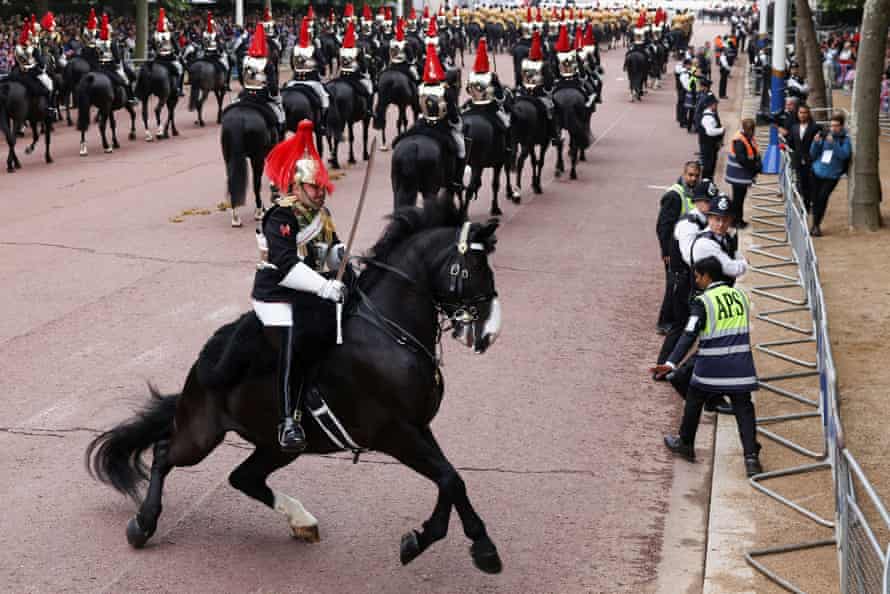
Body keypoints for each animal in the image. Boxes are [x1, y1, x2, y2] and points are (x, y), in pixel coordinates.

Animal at [86, 200, 502, 572]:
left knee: (243, 477)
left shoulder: (419, 428)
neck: (389, 333)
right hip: (201, 435)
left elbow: (451, 480)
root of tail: (203, 363)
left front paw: (437, 540)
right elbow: (449, 479)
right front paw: (475, 547)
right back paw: (143, 525)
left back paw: (301, 520)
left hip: (275, 445)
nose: (490, 333)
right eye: (475, 267)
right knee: (163, 453)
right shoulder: (396, 433)